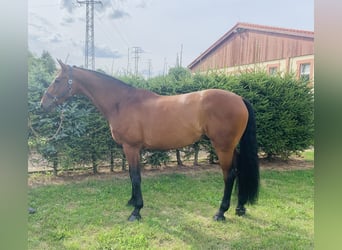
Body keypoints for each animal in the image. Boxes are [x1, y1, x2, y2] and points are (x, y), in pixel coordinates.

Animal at [40, 59, 260, 222]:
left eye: (57, 80)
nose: (43, 104)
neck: (122, 102)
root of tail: (239, 99)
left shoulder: (131, 147)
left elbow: (136, 176)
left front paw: (136, 211)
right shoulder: (130, 149)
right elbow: (132, 175)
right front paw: (131, 202)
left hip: (222, 147)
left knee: (229, 175)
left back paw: (220, 212)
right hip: (231, 147)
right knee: (239, 170)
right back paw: (240, 208)